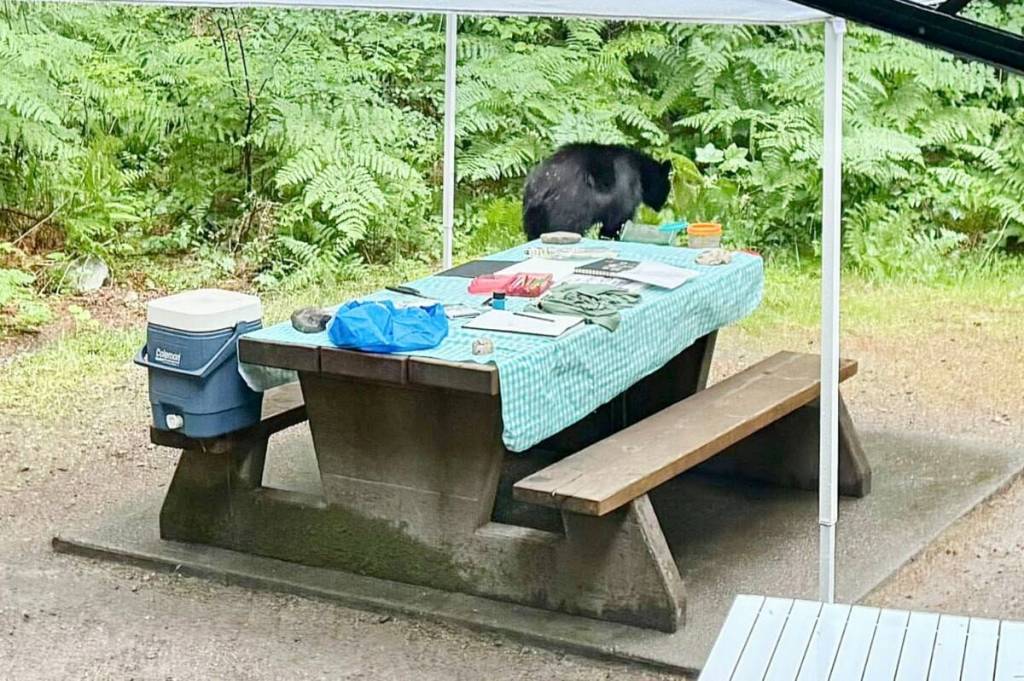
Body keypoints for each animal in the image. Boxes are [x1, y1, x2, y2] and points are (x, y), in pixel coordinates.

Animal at [522, 143, 672, 240]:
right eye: (668, 187)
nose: (662, 205)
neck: (640, 172)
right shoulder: (625, 195)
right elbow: (615, 224)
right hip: (568, 210)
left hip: (533, 218)